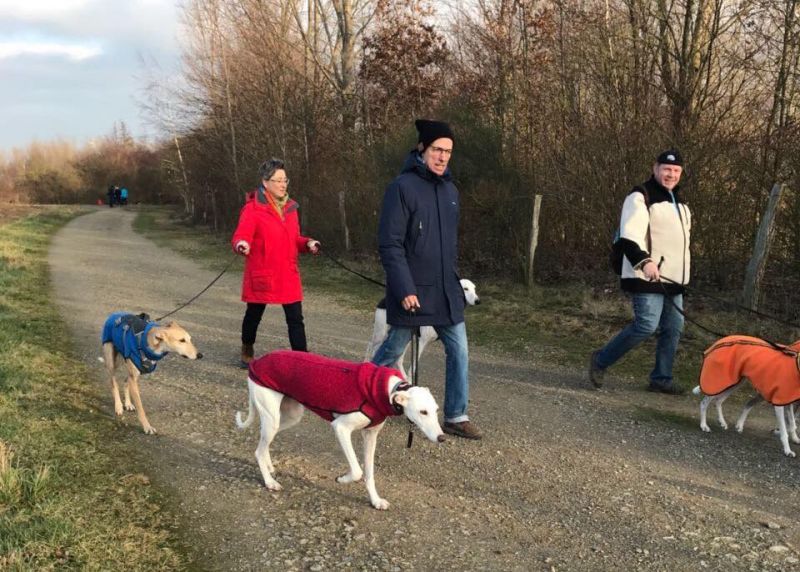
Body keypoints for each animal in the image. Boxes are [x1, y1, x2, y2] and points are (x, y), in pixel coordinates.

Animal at [235, 350, 445, 510]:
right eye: (423, 412)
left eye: (435, 410)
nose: (441, 438)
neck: (387, 391)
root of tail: (257, 361)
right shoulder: (341, 428)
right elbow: (358, 471)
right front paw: (342, 479)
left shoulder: (370, 435)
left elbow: (369, 474)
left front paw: (375, 501)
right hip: (272, 418)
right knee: (258, 450)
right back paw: (269, 481)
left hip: (289, 417)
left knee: (264, 443)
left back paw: (269, 467)